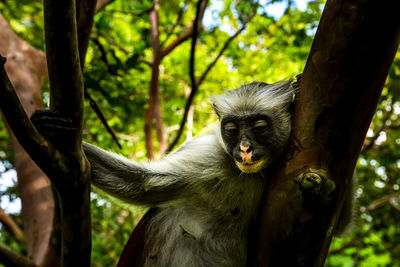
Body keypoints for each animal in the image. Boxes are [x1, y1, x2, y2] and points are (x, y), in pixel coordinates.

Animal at [31, 78, 352, 266]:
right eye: (231, 130)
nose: (244, 149)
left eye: (259, 127)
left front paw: (320, 188)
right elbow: (141, 183)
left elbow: (338, 224)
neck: (248, 175)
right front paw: (50, 128)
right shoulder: (213, 153)